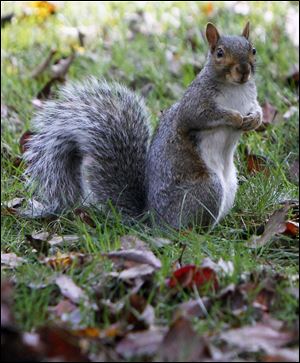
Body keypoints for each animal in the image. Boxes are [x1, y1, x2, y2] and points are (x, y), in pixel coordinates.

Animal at [24, 21, 262, 229]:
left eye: (253, 50)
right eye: (219, 53)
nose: (244, 71)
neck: (235, 89)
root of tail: (152, 219)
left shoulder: (250, 98)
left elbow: (256, 108)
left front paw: (254, 119)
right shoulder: (195, 103)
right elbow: (202, 115)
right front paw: (235, 118)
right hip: (207, 188)